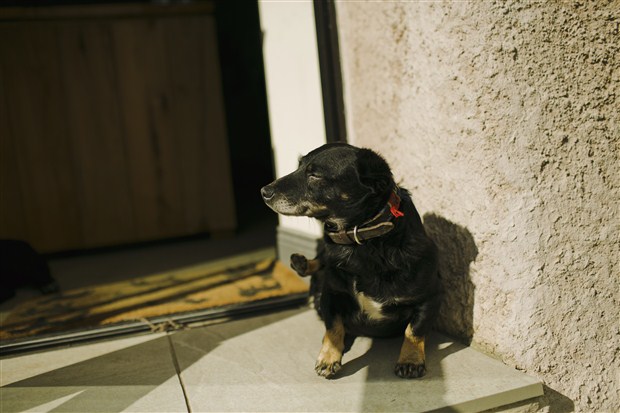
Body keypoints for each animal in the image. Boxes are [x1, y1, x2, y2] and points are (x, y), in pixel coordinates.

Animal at [260, 143, 440, 378]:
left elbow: (414, 331)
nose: (263, 192)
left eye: (315, 175)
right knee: (319, 262)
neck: (363, 241)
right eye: (298, 166)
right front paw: (328, 357)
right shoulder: (332, 295)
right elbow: (333, 327)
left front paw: (410, 360)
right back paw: (301, 263)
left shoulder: (428, 299)